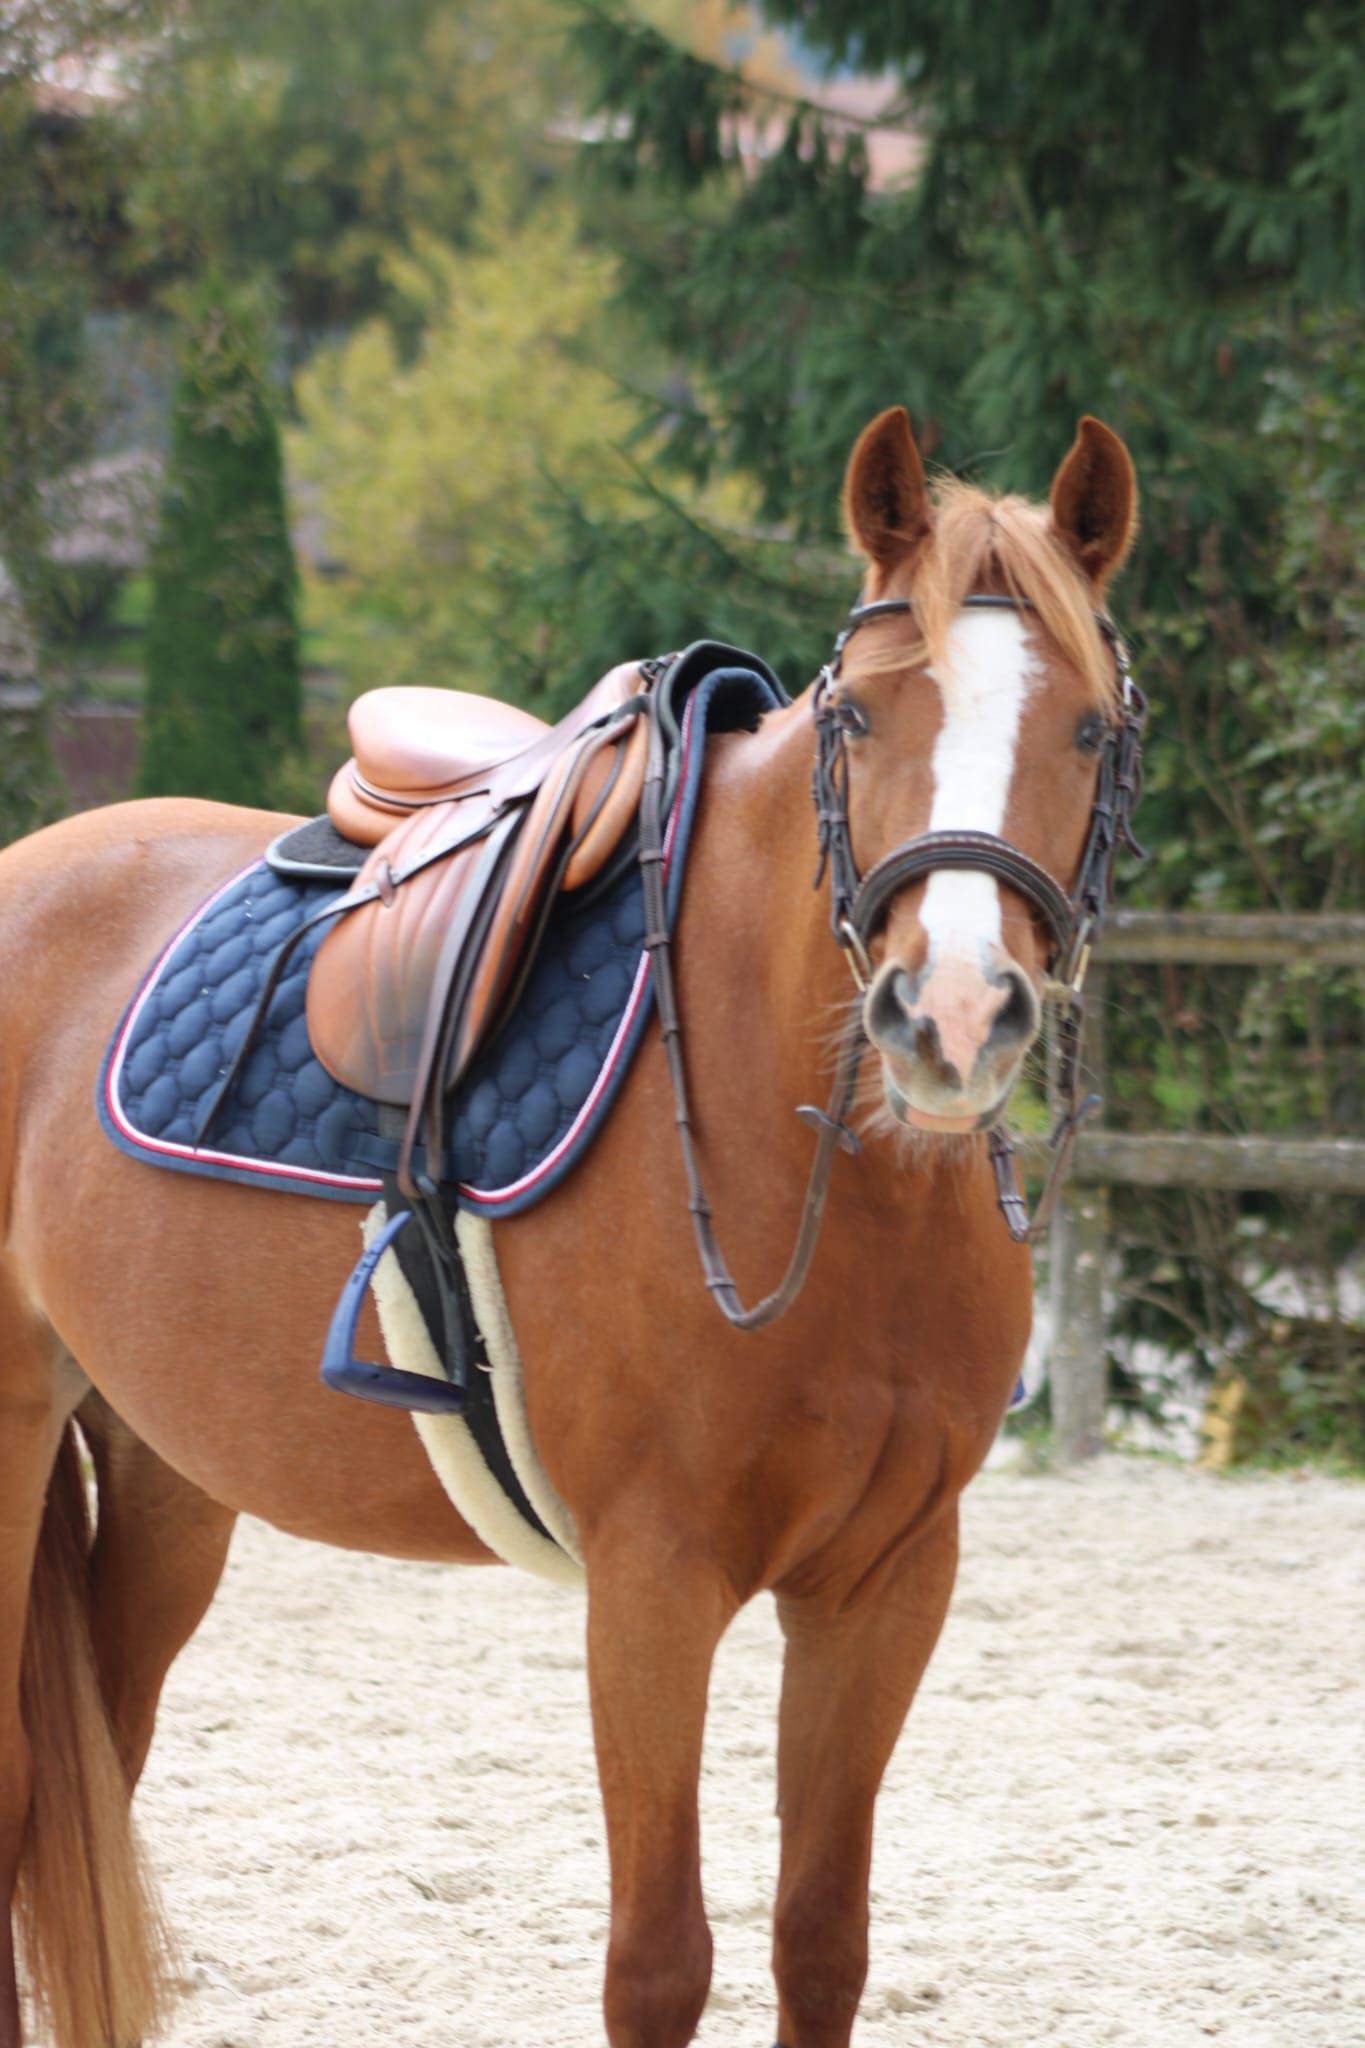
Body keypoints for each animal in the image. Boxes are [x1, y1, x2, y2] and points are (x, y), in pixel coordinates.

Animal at [0, 404, 1140, 2048]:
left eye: (1092, 731)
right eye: (861, 717)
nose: (951, 1017)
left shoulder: (884, 1584)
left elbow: (822, 1937)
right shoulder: (653, 1584)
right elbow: (659, 1959)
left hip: (162, 1483)